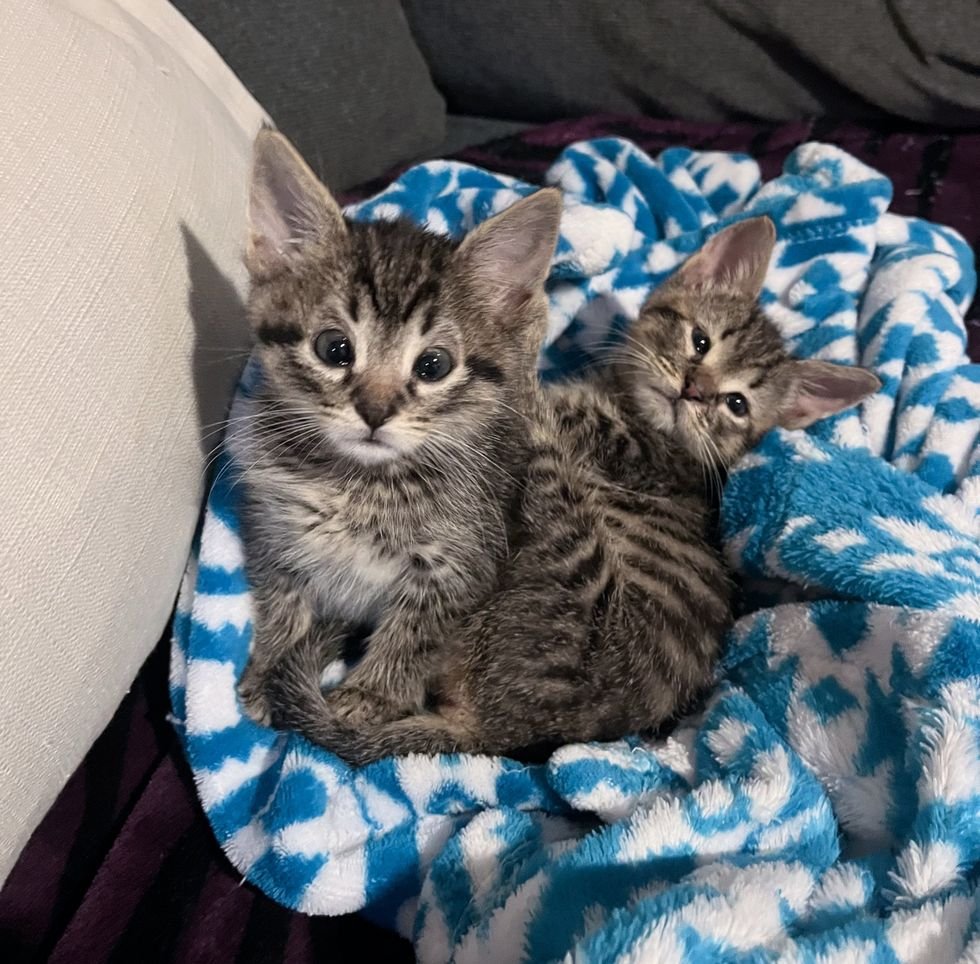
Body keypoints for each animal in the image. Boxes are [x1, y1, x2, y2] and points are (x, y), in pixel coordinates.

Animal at [231, 132, 564, 728]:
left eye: (433, 365)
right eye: (334, 349)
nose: (375, 410)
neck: (358, 482)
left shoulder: (463, 559)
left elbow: (417, 628)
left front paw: (370, 696)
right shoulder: (271, 524)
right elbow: (282, 596)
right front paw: (272, 663)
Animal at [268, 213, 880, 760]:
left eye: (736, 405)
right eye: (700, 342)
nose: (694, 390)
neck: (635, 413)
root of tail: (496, 735)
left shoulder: (607, 444)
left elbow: (524, 394)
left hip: (560, 540)